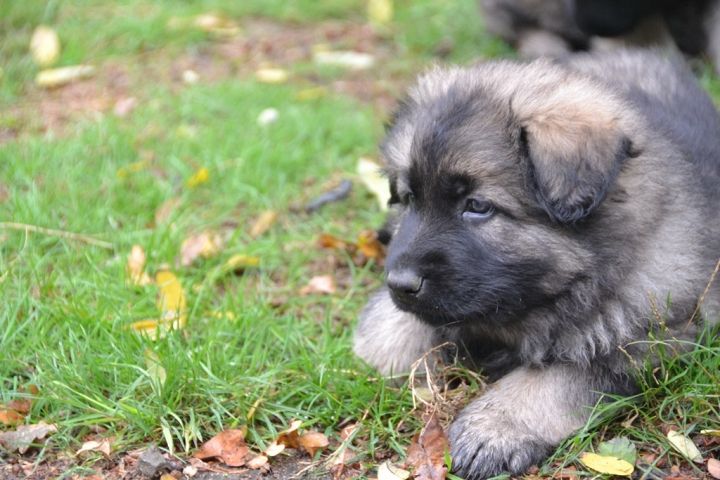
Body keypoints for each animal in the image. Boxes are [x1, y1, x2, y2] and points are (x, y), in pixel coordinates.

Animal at [354, 49, 720, 479]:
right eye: (410, 197)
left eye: (477, 206)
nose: (400, 283)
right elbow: (394, 327)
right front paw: (378, 352)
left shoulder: (648, 341)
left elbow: (561, 375)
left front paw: (495, 426)